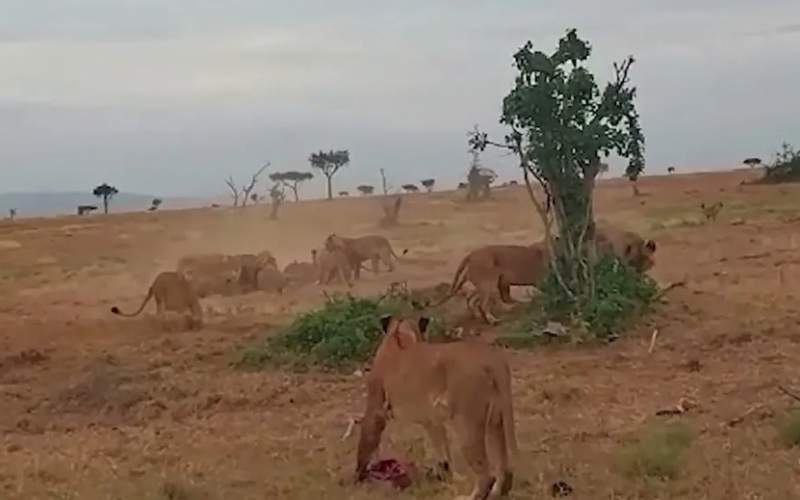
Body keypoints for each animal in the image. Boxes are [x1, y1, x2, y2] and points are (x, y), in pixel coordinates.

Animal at [356, 314, 520, 498]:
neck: (400, 335)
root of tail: (492, 360)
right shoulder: (432, 420)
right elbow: (442, 448)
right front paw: (443, 473)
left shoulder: (376, 409)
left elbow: (366, 441)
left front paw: (358, 476)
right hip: (495, 423)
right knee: (502, 467)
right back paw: (496, 493)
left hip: (467, 426)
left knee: (486, 475)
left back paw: (468, 497)